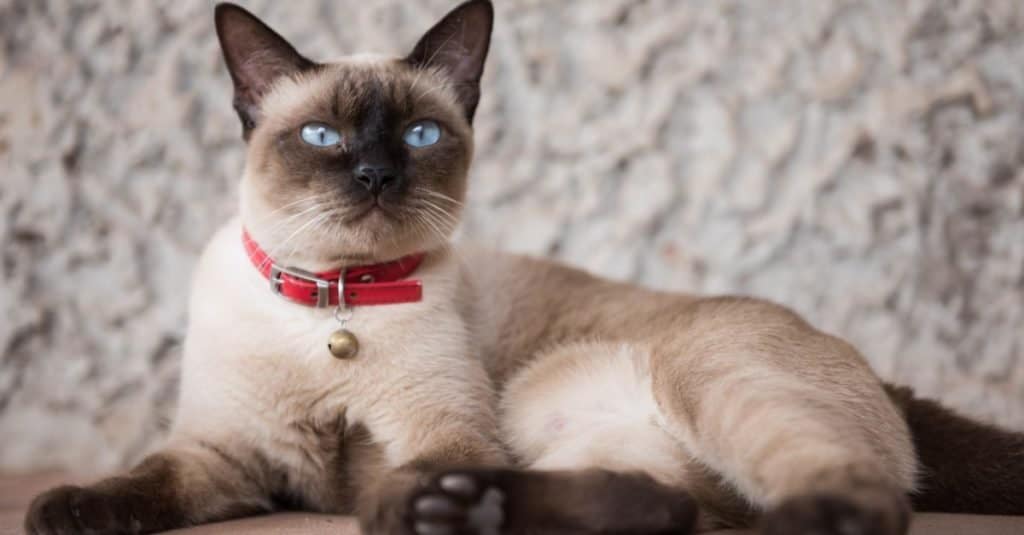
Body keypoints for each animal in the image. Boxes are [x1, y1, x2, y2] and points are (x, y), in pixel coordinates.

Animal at [22, 1, 1024, 532]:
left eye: (422, 135)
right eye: (323, 137)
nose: (376, 174)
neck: (335, 298)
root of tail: (883, 379)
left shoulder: (443, 434)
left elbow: (400, 469)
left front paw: (403, 499)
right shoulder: (229, 453)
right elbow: (140, 479)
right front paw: (63, 508)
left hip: (710, 384)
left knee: (842, 494)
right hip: (571, 419)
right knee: (657, 504)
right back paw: (465, 511)